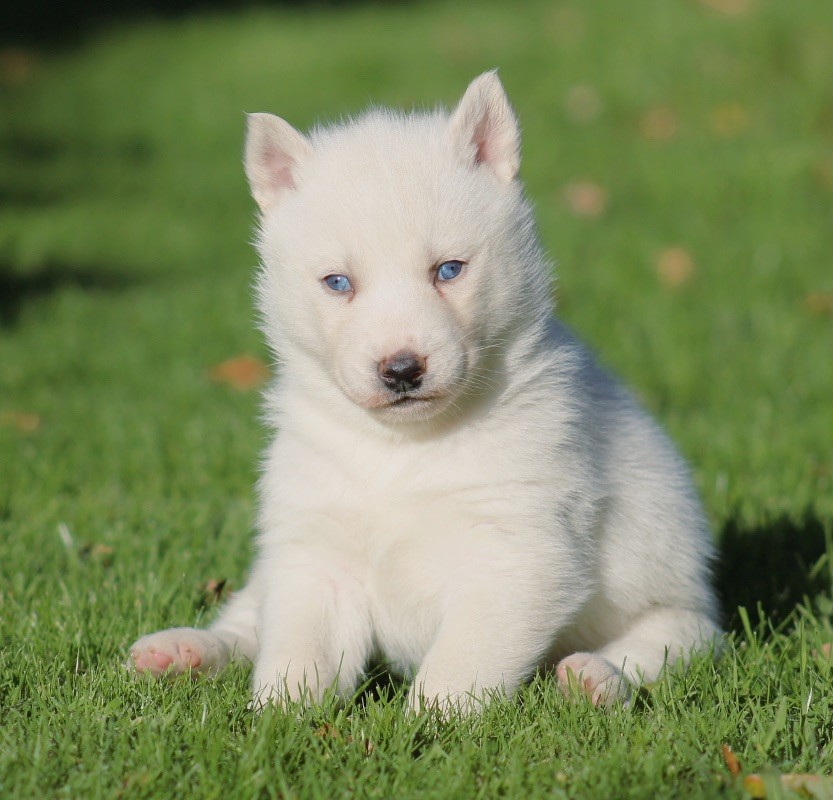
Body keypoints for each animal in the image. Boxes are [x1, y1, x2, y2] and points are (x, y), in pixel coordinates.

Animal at [127, 72, 720, 708]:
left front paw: (432, 721)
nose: (402, 369)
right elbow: (297, 651)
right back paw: (184, 650)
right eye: (338, 282)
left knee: (661, 644)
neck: (401, 451)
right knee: (246, 619)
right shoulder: (316, 556)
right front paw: (280, 716)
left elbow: (460, 664)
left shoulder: (520, 552)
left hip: (674, 600)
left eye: (449, 270)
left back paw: (596, 677)